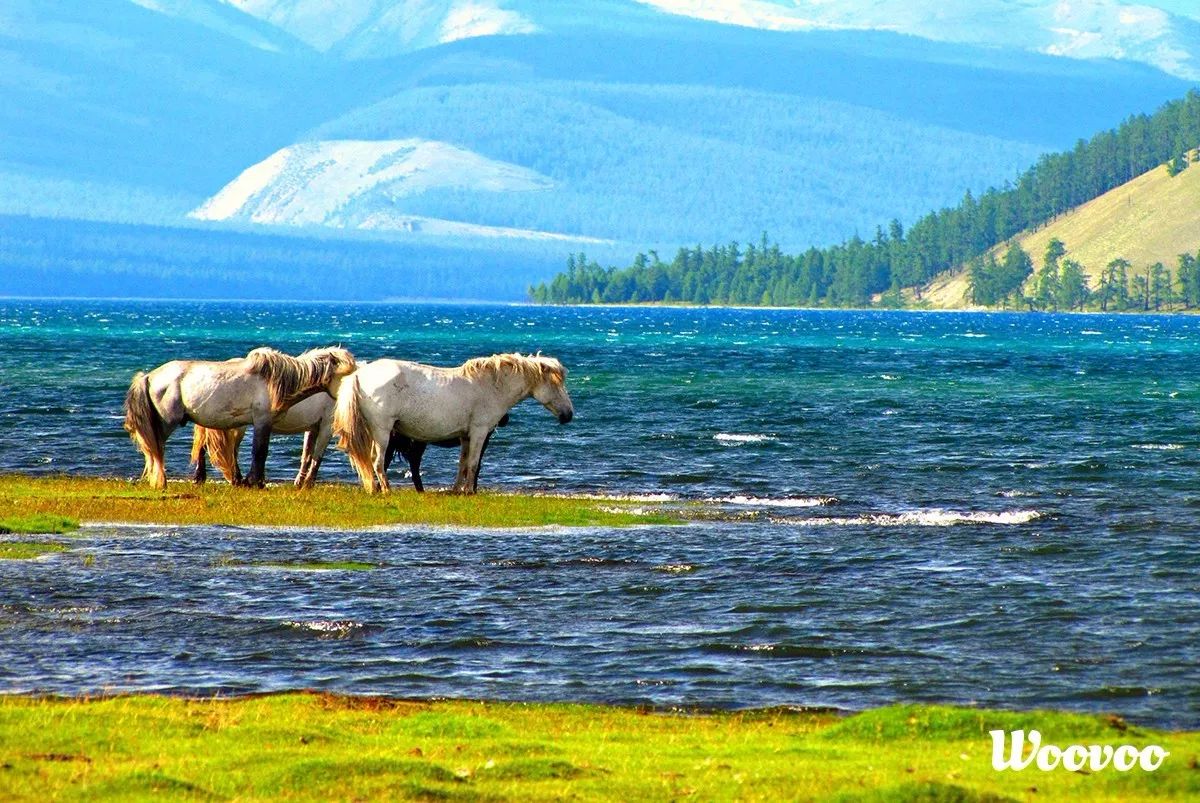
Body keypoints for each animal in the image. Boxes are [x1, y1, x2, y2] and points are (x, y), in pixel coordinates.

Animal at [189, 388, 336, 484]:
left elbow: (307, 455)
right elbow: (317, 457)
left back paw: (201, 477)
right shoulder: (326, 427)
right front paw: (308, 483)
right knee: (231, 451)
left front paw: (299, 482)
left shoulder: (313, 427)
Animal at [328, 352, 571, 492]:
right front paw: (469, 492)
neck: (490, 386)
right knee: (377, 462)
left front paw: (456, 491)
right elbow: (473, 464)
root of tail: (359, 375)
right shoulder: (479, 432)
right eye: (556, 383)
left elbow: (463, 464)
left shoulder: (466, 436)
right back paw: (387, 491)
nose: (568, 415)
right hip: (382, 431)